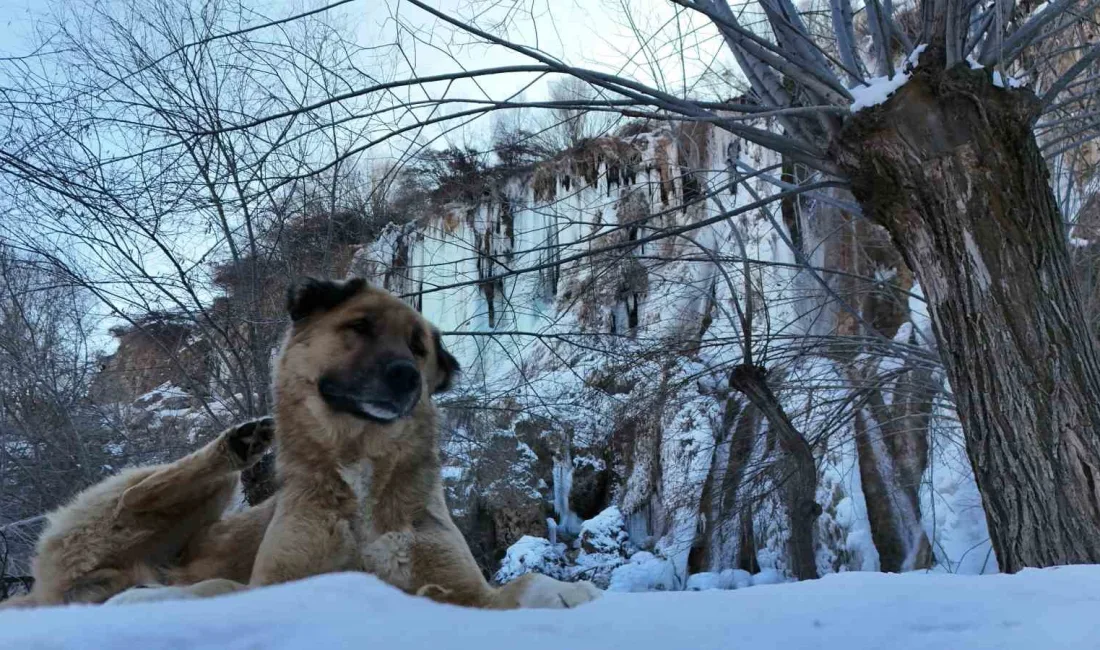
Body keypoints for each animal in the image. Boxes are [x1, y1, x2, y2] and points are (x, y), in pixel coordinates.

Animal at [249, 278, 602, 611]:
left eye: (417, 347)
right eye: (360, 326)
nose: (407, 377)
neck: (362, 452)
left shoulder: (463, 585)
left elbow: (526, 581)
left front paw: (572, 591)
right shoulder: (281, 577)